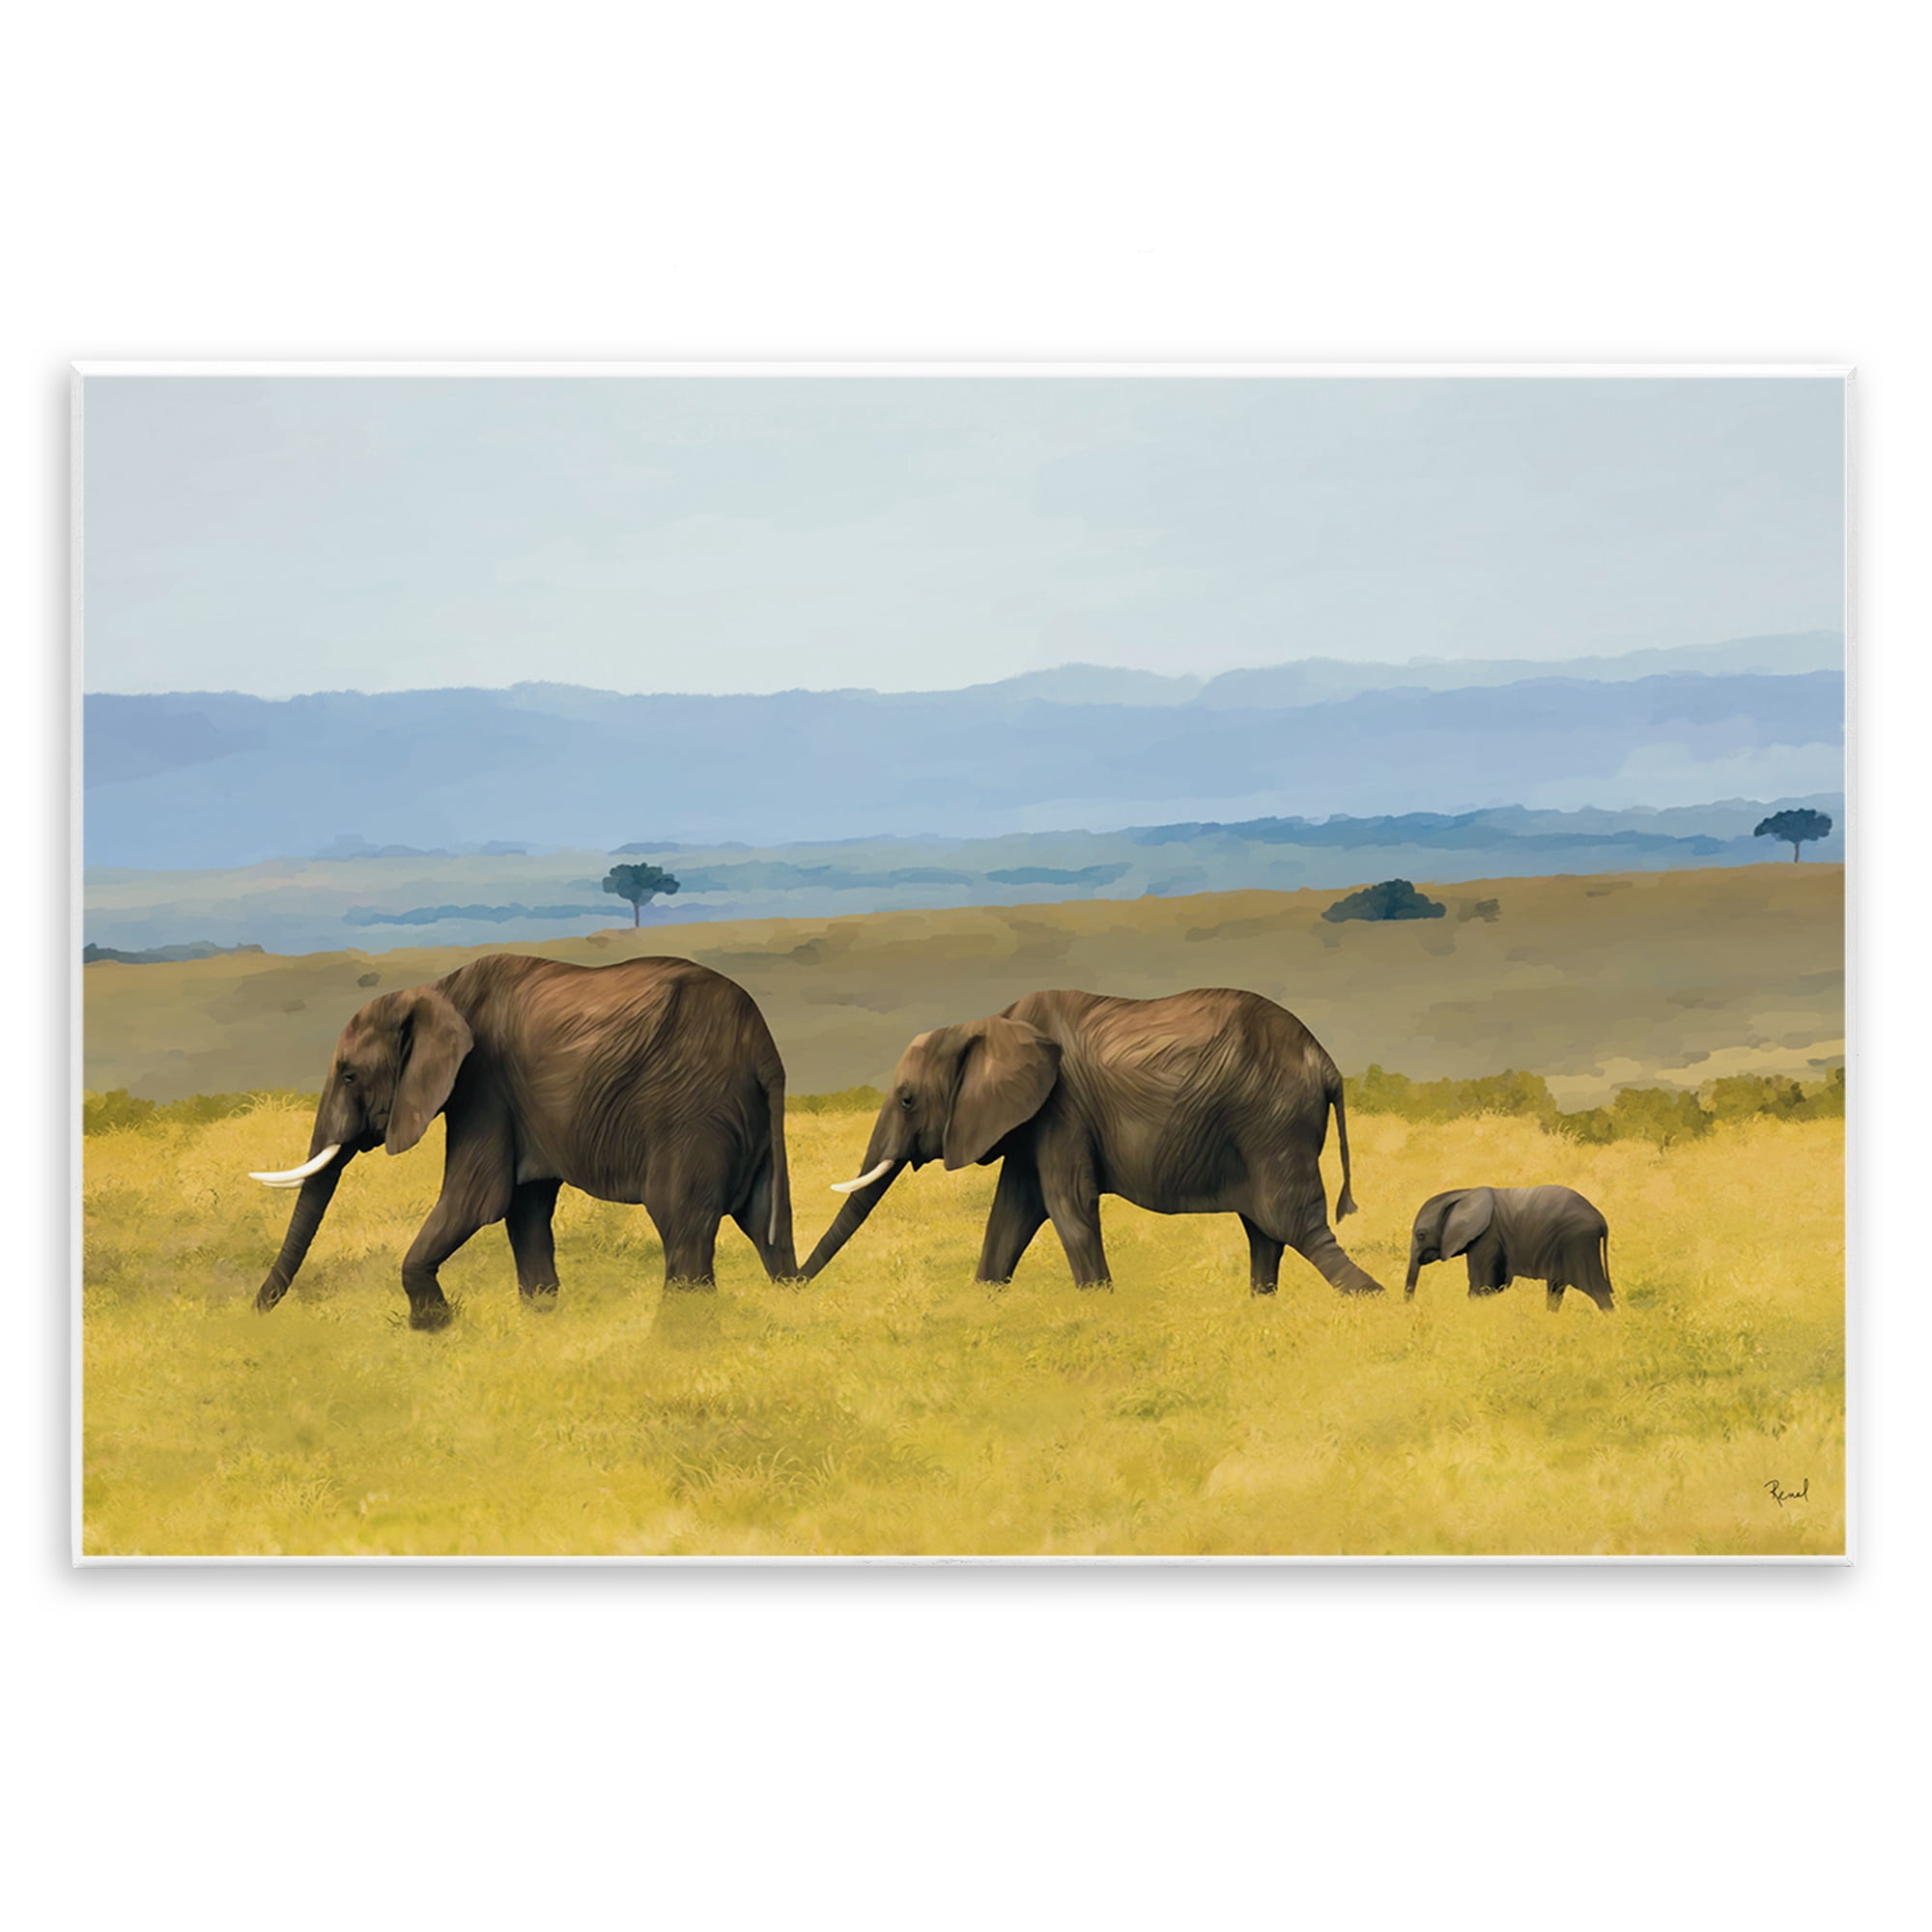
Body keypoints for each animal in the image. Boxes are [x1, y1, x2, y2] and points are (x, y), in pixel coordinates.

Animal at [248, 954, 797, 1327]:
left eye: (348, 1076)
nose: (253, 1314)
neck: (438, 990)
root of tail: (764, 1049)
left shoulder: (483, 1085)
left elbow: (477, 1199)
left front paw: (434, 1329)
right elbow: (524, 1210)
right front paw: (541, 1322)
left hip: (689, 1113)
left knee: (683, 1225)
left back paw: (679, 1337)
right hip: (746, 1121)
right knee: (766, 1226)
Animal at [802, 987, 1385, 1297]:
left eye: (906, 1100)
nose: (792, 1284)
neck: (989, 1021)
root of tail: (1327, 1064)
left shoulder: (1063, 1110)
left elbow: (1067, 1206)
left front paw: (1099, 1302)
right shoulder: (1032, 1121)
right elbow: (1010, 1213)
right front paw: (985, 1298)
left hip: (1273, 1123)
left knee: (1294, 1225)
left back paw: (1374, 1301)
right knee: (1266, 1231)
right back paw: (1260, 1304)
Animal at [1404, 1185, 1614, 1311]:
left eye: (1421, 1235)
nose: (1411, 1308)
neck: (1464, 1193)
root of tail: (1601, 1219)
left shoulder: (1487, 1236)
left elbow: (1482, 1286)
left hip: (1577, 1241)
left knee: (1596, 1288)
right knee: (1556, 1288)